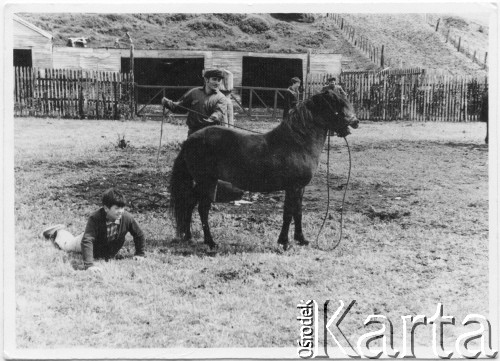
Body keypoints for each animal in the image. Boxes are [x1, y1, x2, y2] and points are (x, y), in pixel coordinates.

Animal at [170, 88, 358, 249]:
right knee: (202, 209)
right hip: (206, 182)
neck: (297, 143)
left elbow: (297, 212)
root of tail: (191, 139)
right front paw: (284, 242)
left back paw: (188, 236)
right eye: (337, 104)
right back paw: (210, 242)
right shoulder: (293, 187)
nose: (355, 122)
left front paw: (301, 239)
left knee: (189, 203)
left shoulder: (299, 188)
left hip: (205, 182)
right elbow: (288, 213)